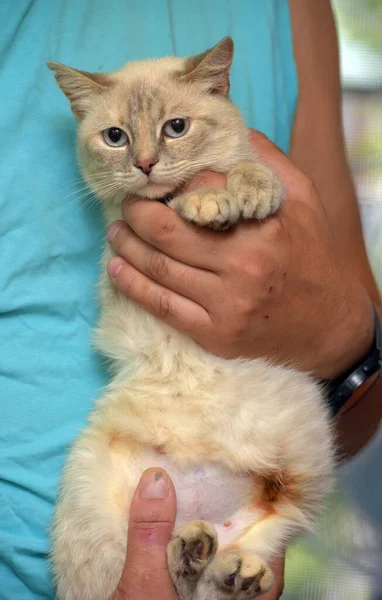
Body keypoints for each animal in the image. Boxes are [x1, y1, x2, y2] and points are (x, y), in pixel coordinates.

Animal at [48, 37, 334, 600]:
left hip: (292, 498)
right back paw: (190, 551)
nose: (144, 163)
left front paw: (248, 192)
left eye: (175, 128)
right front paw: (204, 201)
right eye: (115, 137)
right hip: (95, 499)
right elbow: (172, 196)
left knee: (219, 576)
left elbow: (244, 166)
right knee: (168, 576)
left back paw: (235, 569)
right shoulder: (121, 247)